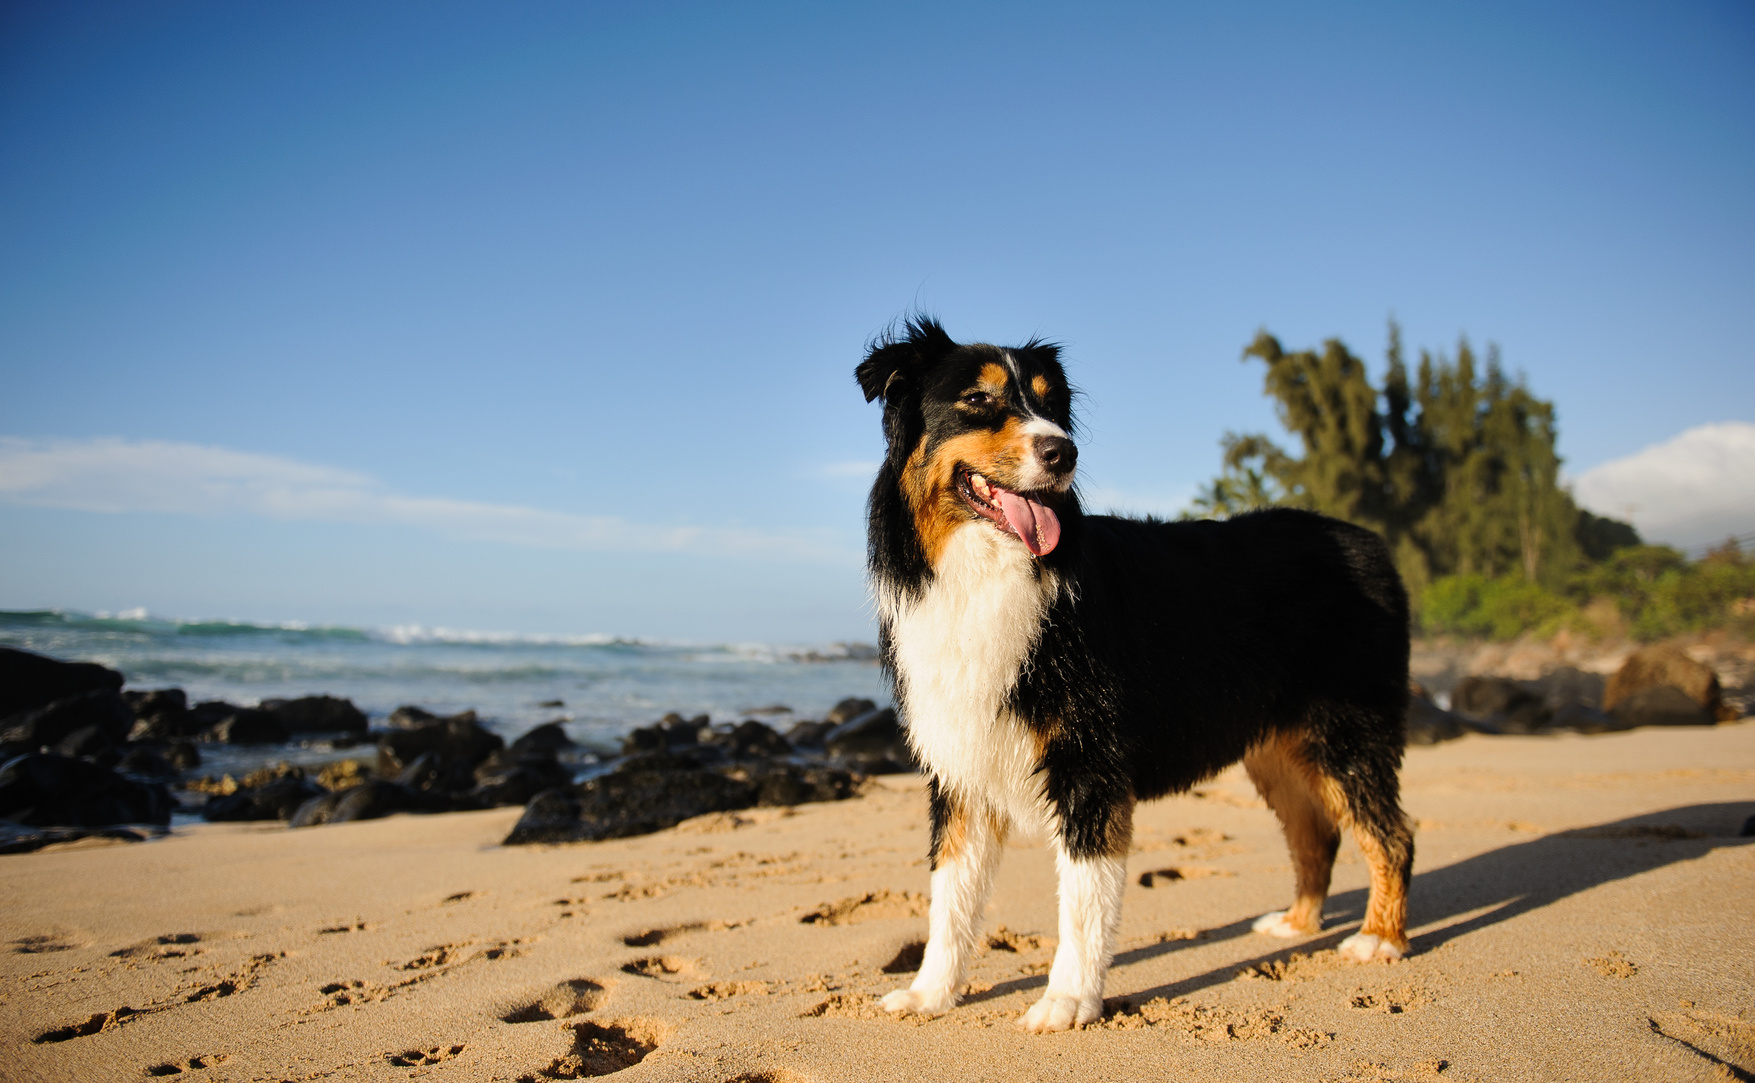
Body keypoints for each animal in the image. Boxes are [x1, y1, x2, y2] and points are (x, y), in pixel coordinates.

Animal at [856, 314, 1418, 1032]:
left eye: (1051, 404)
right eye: (978, 400)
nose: (1062, 452)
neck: (986, 571)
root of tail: (1370, 542)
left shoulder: (1089, 764)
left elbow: (1082, 899)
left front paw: (1068, 999)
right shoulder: (960, 765)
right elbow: (950, 896)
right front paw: (931, 993)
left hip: (1347, 733)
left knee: (1391, 834)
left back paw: (1380, 938)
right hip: (1278, 750)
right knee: (1315, 834)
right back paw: (1297, 924)